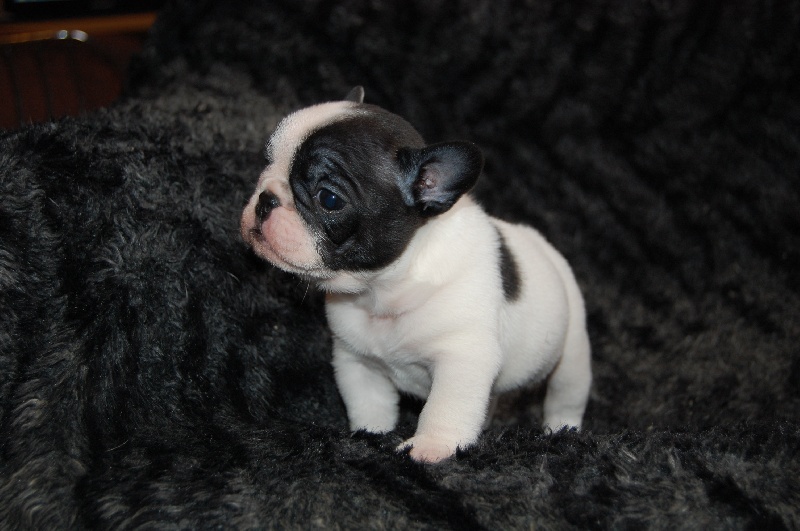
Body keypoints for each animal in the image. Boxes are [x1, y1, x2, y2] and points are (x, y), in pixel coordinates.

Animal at [240, 87, 591, 463]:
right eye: (266, 162)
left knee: (566, 395)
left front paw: (432, 446)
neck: (383, 290)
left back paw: (562, 432)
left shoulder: (463, 356)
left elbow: (447, 407)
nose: (265, 199)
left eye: (329, 199)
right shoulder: (357, 361)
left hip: (572, 352)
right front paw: (369, 435)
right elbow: (368, 403)